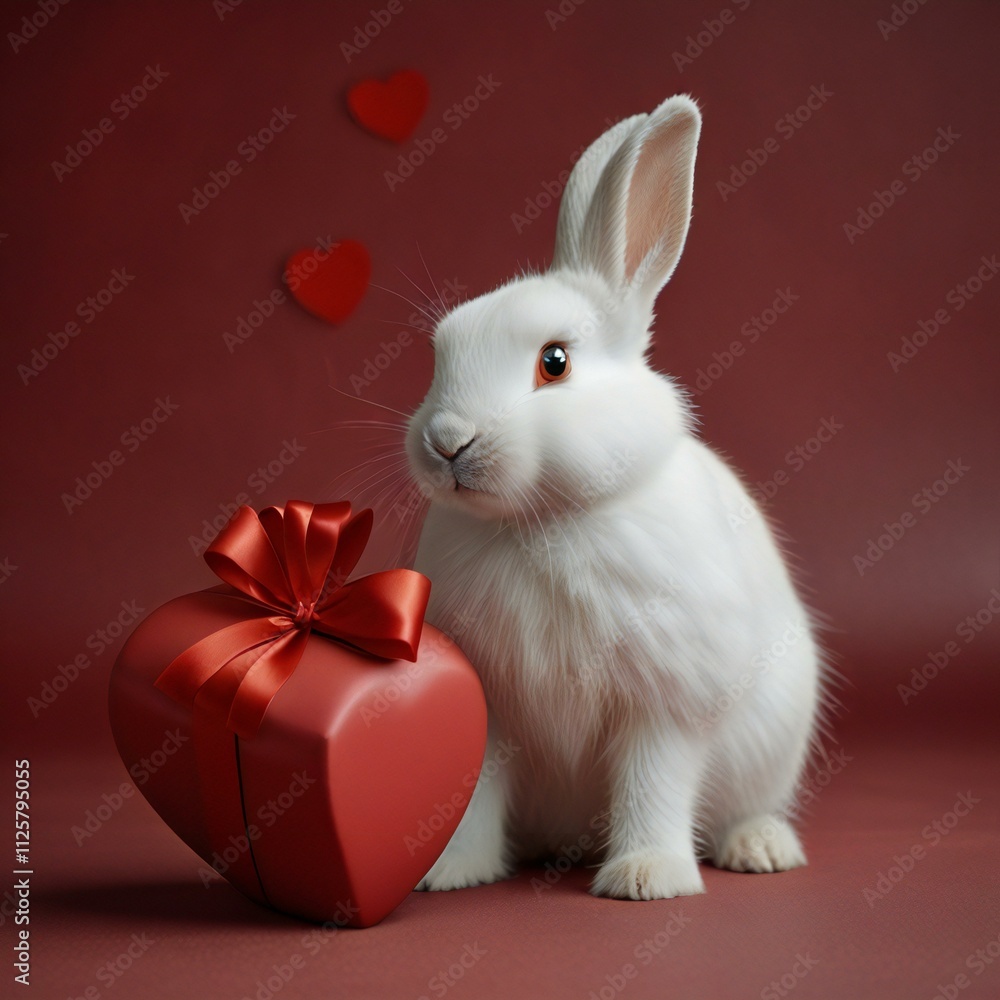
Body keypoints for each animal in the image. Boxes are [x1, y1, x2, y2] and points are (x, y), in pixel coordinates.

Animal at [404, 93, 822, 900]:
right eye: (440, 353)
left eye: (555, 362)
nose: (446, 440)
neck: (542, 521)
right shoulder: (494, 709)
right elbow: (475, 797)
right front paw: (448, 873)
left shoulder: (664, 704)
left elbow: (652, 784)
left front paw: (646, 879)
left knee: (748, 806)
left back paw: (760, 849)